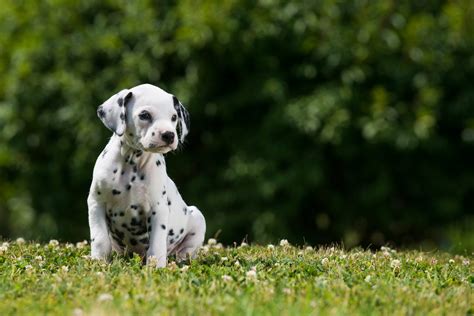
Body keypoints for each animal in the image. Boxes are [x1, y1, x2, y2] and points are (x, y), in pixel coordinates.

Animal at [87, 83, 206, 266]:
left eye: (174, 117)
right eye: (145, 115)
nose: (169, 135)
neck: (132, 162)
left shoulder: (158, 210)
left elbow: (156, 246)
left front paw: (156, 268)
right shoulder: (96, 202)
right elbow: (100, 240)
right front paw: (99, 262)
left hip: (197, 218)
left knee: (184, 252)